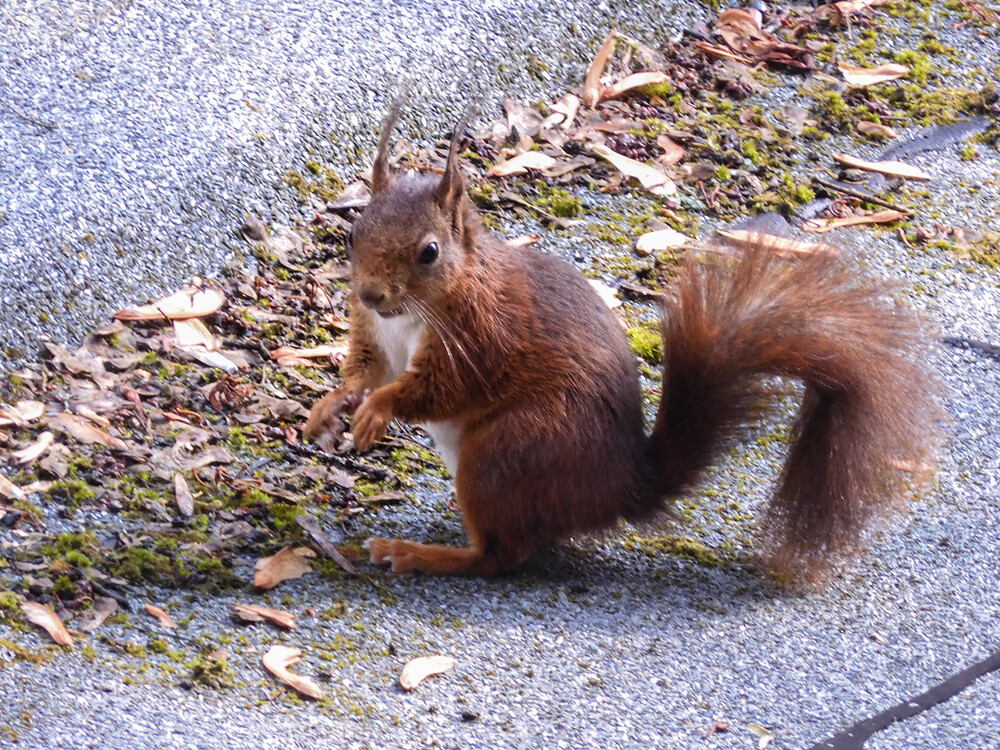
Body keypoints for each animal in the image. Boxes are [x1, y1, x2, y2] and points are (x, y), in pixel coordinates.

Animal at [302, 101, 936, 580]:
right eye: (354, 231)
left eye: (429, 252)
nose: (369, 294)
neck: (411, 313)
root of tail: (620, 488)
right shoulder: (375, 335)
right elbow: (366, 370)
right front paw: (328, 408)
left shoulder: (481, 337)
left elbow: (435, 388)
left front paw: (378, 412)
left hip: (508, 450)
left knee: (499, 557)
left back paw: (420, 554)